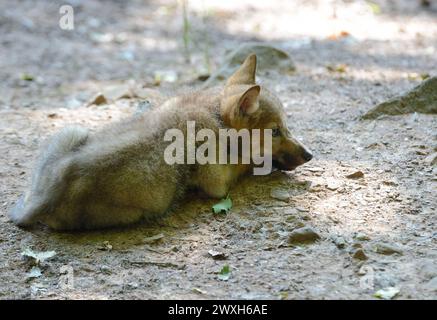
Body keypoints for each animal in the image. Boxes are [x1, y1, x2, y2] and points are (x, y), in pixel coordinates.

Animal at [9, 54, 310, 230]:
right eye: (275, 132)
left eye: (286, 126)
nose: (310, 155)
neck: (216, 117)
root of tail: (44, 200)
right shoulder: (218, 183)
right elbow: (246, 165)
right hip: (143, 210)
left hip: (71, 131)